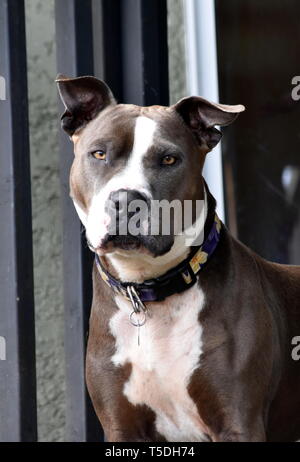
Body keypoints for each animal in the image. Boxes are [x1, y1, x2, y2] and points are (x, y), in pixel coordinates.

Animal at [56, 74, 300, 442]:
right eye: (99, 153)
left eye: (169, 159)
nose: (126, 200)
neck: (149, 293)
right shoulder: (120, 426)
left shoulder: (238, 422)